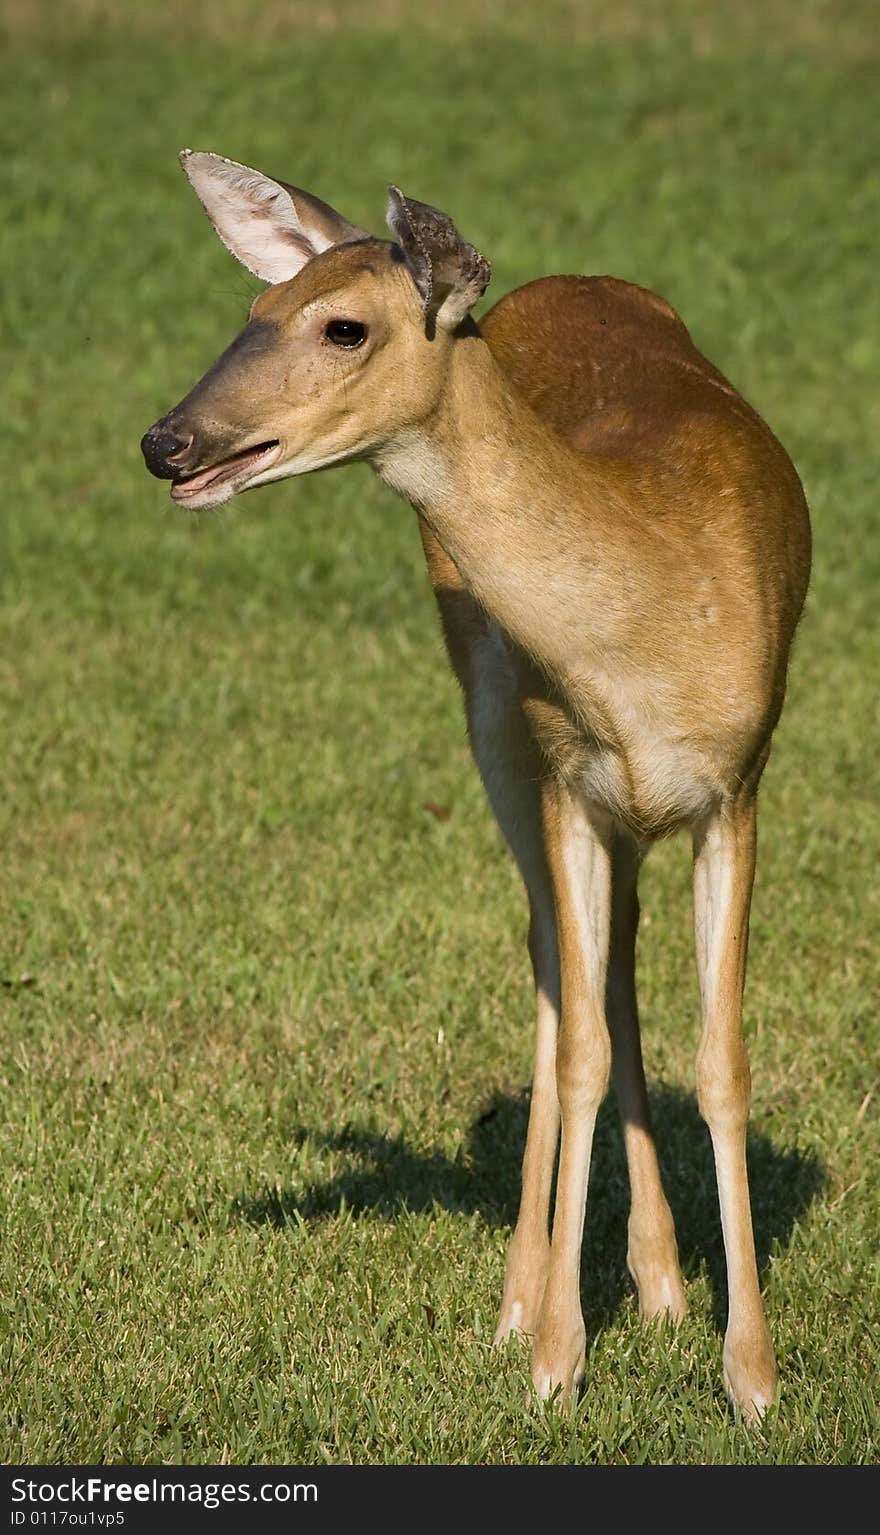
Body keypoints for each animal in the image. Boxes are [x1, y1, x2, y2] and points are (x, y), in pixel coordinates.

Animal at [142, 149, 810, 1418]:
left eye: (341, 325)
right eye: (254, 306)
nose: (167, 442)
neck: (645, 629)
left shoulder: (736, 781)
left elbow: (724, 1059)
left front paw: (749, 1375)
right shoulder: (562, 773)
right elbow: (576, 1042)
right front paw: (554, 1354)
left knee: (607, 965)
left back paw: (659, 1283)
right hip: (493, 717)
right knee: (559, 974)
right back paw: (529, 1297)